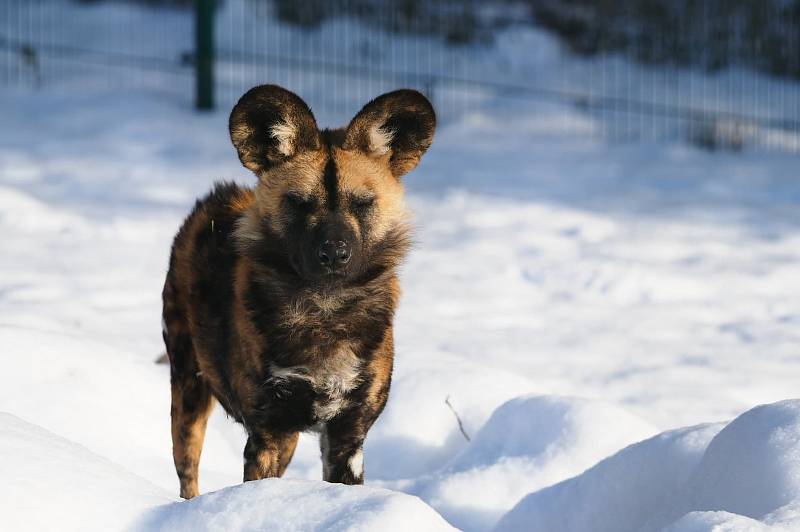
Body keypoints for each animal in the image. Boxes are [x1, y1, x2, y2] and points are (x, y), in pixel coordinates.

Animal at [162, 84, 434, 498]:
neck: (324, 314)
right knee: (187, 471)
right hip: (189, 393)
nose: (334, 253)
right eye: (299, 203)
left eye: (363, 203)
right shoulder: (269, 432)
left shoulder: (347, 438)